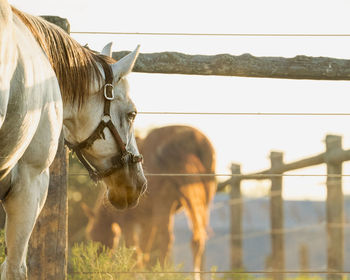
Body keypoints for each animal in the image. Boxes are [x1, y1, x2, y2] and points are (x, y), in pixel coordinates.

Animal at [83, 126, 217, 274]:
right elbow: (144, 247)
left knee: (166, 238)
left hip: (164, 202)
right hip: (202, 203)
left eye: (93, 236)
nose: (96, 264)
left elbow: (133, 248)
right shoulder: (147, 221)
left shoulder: (128, 221)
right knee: (198, 240)